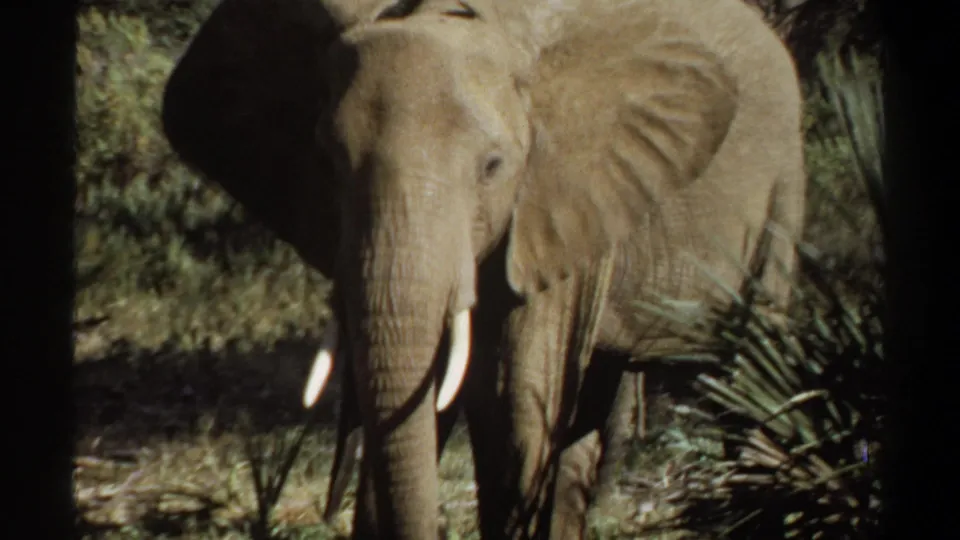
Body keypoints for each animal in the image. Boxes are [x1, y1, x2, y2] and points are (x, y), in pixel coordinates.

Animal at [161, 0, 806, 538]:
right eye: (327, 161)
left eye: (493, 166)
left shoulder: (563, 195)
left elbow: (516, 401)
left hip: (777, 205)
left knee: (741, 382)